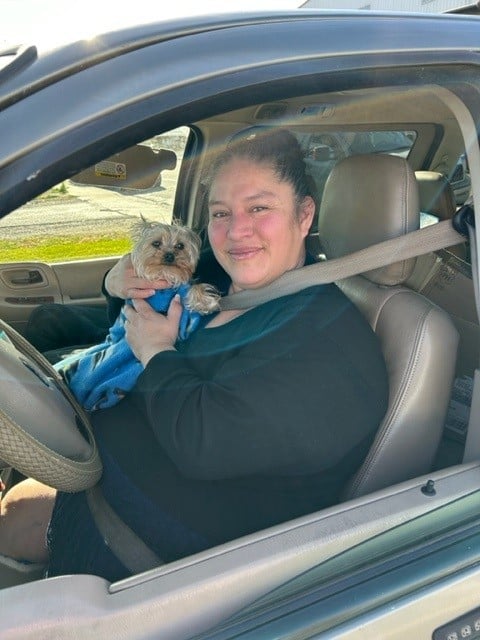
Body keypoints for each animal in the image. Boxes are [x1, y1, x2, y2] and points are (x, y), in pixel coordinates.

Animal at [55, 219, 219, 410]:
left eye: (180, 245)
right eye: (156, 243)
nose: (169, 255)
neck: (163, 277)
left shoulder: (180, 289)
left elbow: (192, 289)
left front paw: (207, 302)